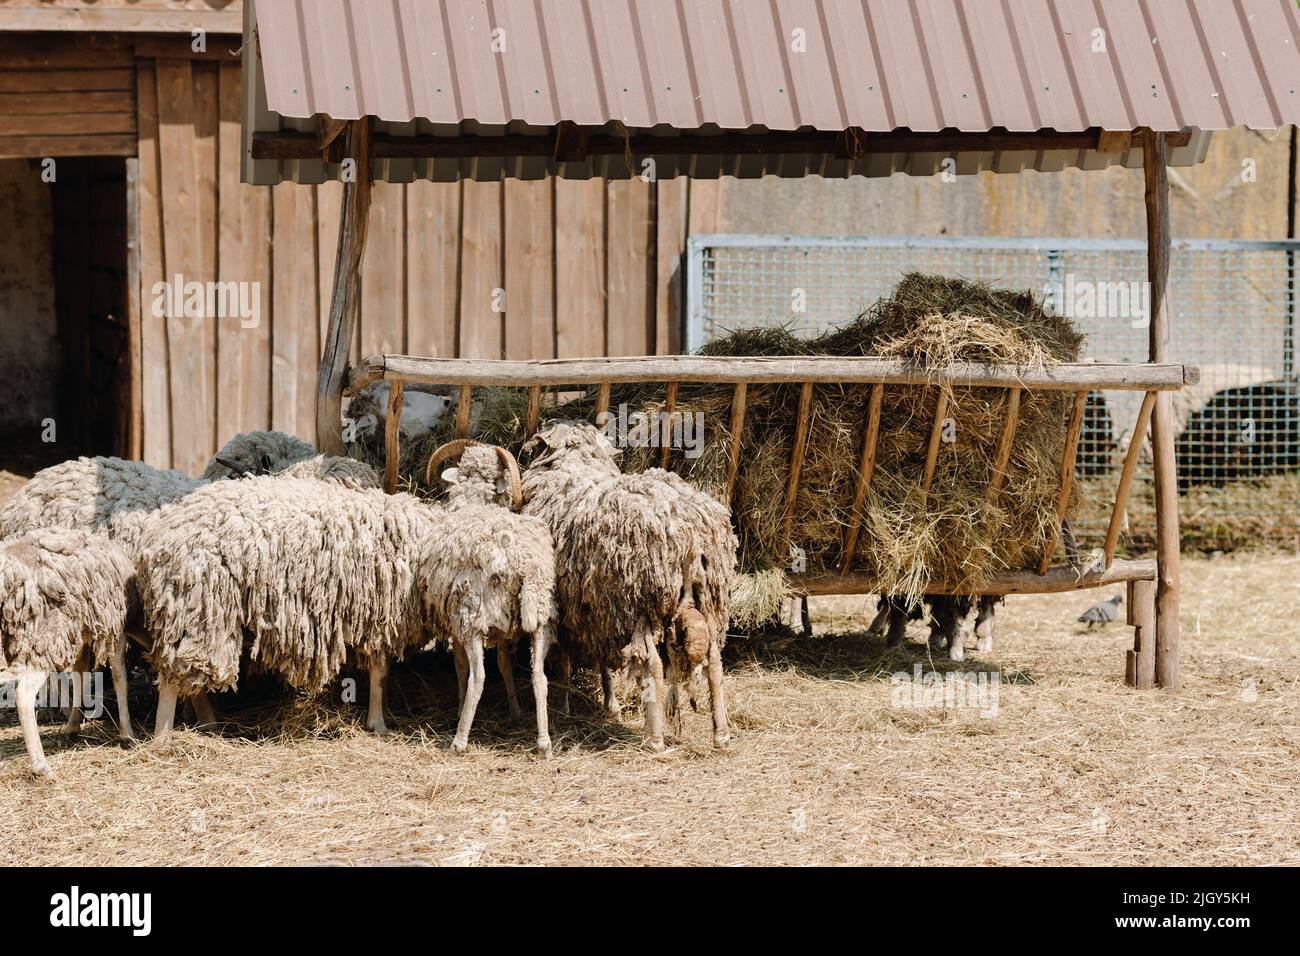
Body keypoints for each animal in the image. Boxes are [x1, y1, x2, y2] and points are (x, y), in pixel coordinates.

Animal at [0, 530, 134, 780]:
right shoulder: (115, 628)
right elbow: (120, 677)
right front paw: (127, 733)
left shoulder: (82, 633)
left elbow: (80, 675)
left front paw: (74, 724)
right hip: (45, 636)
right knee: (24, 694)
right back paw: (41, 766)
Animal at [135, 478, 441, 738]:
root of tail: (153, 542)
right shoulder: (380, 613)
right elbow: (379, 672)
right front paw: (378, 724)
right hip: (198, 608)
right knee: (174, 676)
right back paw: (162, 739)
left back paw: (208, 723)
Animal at [418, 439, 556, 754]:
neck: (475, 502)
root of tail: (523, 561)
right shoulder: (504, 627)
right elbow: (505, 665)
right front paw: (515, 711)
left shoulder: (457, 625)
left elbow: (460, 667)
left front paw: (459, 709)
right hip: (541, 616)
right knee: (539, 676)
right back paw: (543, 743)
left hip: (472, 616)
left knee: (478, 676)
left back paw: (459, 740)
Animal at [520, 421, 743, 749]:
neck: (574, 464)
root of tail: (690, 536)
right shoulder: (597, 607)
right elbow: (601, 657)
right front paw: (610, 704)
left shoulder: (572, 607)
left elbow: (567, 659)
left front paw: (566, 703)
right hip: (709, 598)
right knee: (714, 661)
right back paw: (721, 733)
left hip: (640, 602)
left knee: (652, 664)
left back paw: (655, 738)